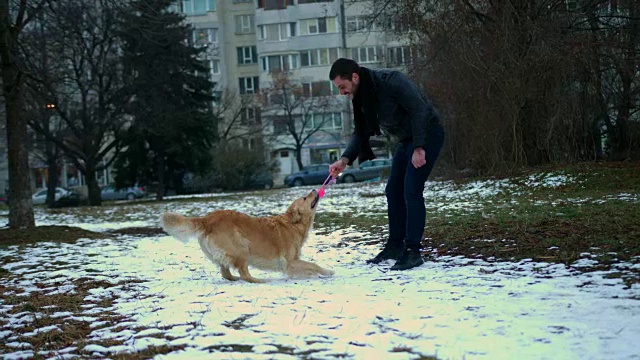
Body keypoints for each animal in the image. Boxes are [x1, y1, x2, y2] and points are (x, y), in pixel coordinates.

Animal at [160, 188, 332, 284]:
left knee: (226, 273)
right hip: (242, 248)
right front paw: (327, 272)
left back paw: (236, 278)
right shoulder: (290, 262)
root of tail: (206, 219)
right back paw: (260, 280)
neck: (293, 223)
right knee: (244, 275)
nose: (314, 190)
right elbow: (313, 265)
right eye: (304, 198)